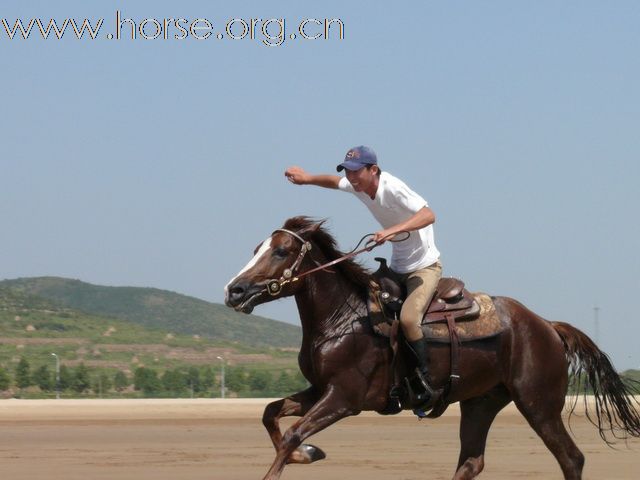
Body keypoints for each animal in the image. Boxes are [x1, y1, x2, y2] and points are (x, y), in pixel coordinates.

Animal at [222, 218, 636, 480]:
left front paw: (303, 452)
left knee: (572, 458)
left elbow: (292, 434)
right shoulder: (319, 390)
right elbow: (271, 413)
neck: (345, 317)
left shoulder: (343, 398)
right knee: (471, 462)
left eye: (280, 251)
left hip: (539, 403)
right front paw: (308, 454)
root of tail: (547, 325)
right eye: (258, 248)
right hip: (481, 402)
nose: (234, 290)